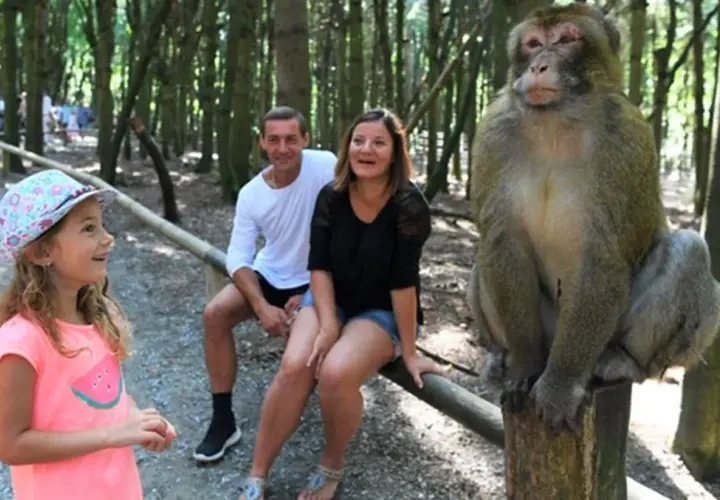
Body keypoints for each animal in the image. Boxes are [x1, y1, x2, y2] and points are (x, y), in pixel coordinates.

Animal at [465, 2, 720, 431]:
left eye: (567, 39)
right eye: (532, 43)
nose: (539, 65)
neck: (554, 123)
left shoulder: (626, 140)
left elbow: (601, 257)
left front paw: (559, 385)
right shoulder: (492, 136)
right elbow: (503, 243)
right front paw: (524, 367)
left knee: (690, 248)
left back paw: (623, 360)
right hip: (548, 327)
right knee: (481, 261)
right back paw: (501, 356)